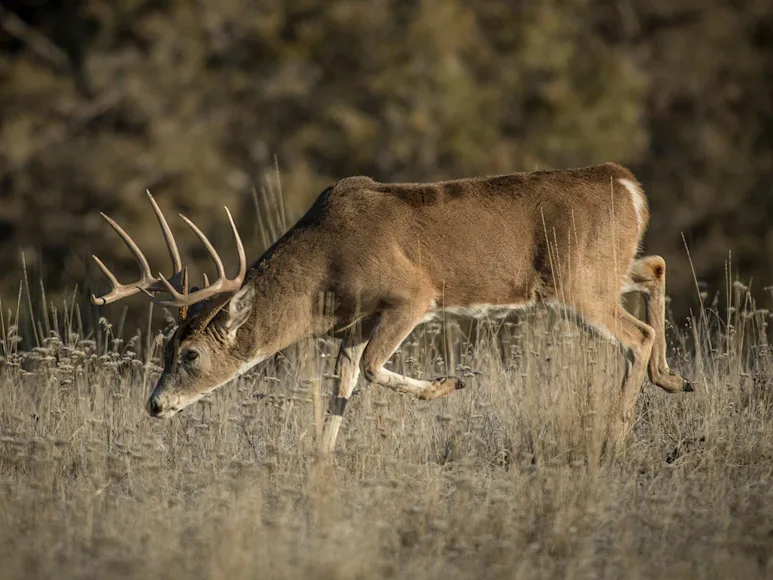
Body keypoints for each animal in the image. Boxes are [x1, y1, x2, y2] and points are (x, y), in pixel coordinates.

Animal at [90, 162, 692, 453]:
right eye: (165, 348)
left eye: (190, 355)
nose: (154, 405)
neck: (325, 270)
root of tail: (628, 185)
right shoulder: (354, 324)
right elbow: (344, 384)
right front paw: (318, 466)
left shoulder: (411, 295)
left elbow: (374, 369)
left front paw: (450, 385)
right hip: (604, 270)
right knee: (656, 265)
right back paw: (673, 378)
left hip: (578, 282)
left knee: (635, 334)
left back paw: (614, 437)